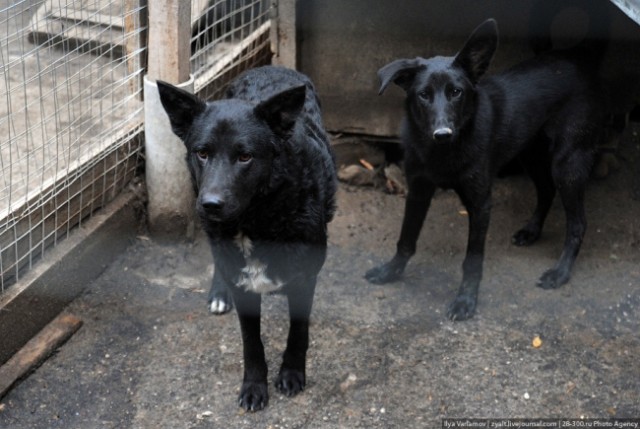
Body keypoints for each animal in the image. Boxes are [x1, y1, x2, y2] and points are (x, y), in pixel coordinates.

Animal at [158, 67, 338, 412]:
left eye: (245, 157)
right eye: (202, 153)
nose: (211, 204)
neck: (257, 220)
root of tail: (270, 67)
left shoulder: (305, 279)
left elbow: (298, 332)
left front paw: (292, 373)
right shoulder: (243, 286)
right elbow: (251, 344)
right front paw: (254, 387)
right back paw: (219, 292)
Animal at [368, 19, 608, 320]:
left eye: (456, 92)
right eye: (423, 95)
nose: (442, 134)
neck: (442, 153)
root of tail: (579, 55)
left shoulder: (480, 202)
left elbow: (472, 259)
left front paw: (465, 300)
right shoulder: (418, 190)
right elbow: (406, 238)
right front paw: (391, 271)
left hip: (568, 162)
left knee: (577, 222)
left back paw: (560, 273)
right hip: (530, 153)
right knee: (546, 190)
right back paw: (531, 231)